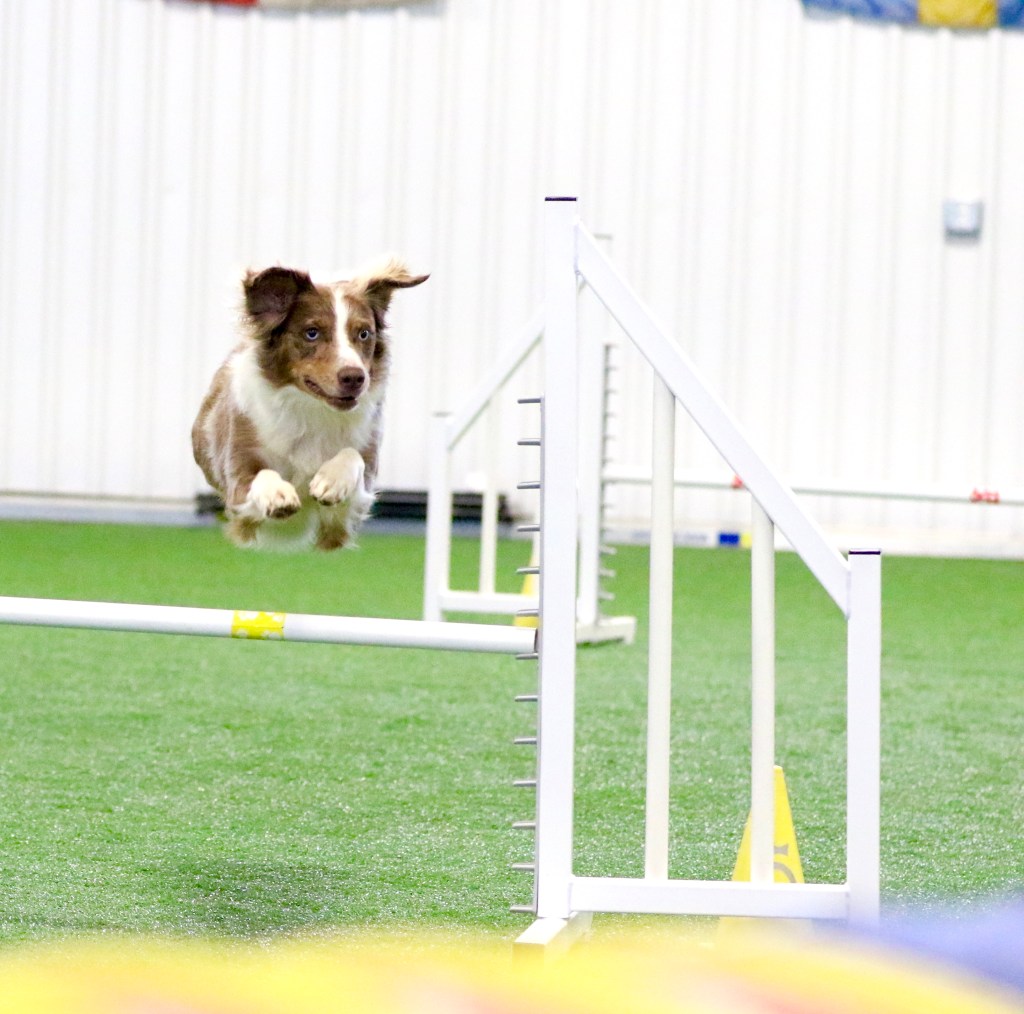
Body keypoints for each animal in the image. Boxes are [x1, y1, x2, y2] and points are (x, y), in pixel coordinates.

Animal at [192, 257, 428, 550]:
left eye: (364, 334)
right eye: (312, 333)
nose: (355, 377)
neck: (312, 409)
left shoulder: (352, 504)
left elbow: (352, 457)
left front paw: (331, 480)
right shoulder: (237, 482)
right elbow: (260, 475)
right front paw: (277, 494)